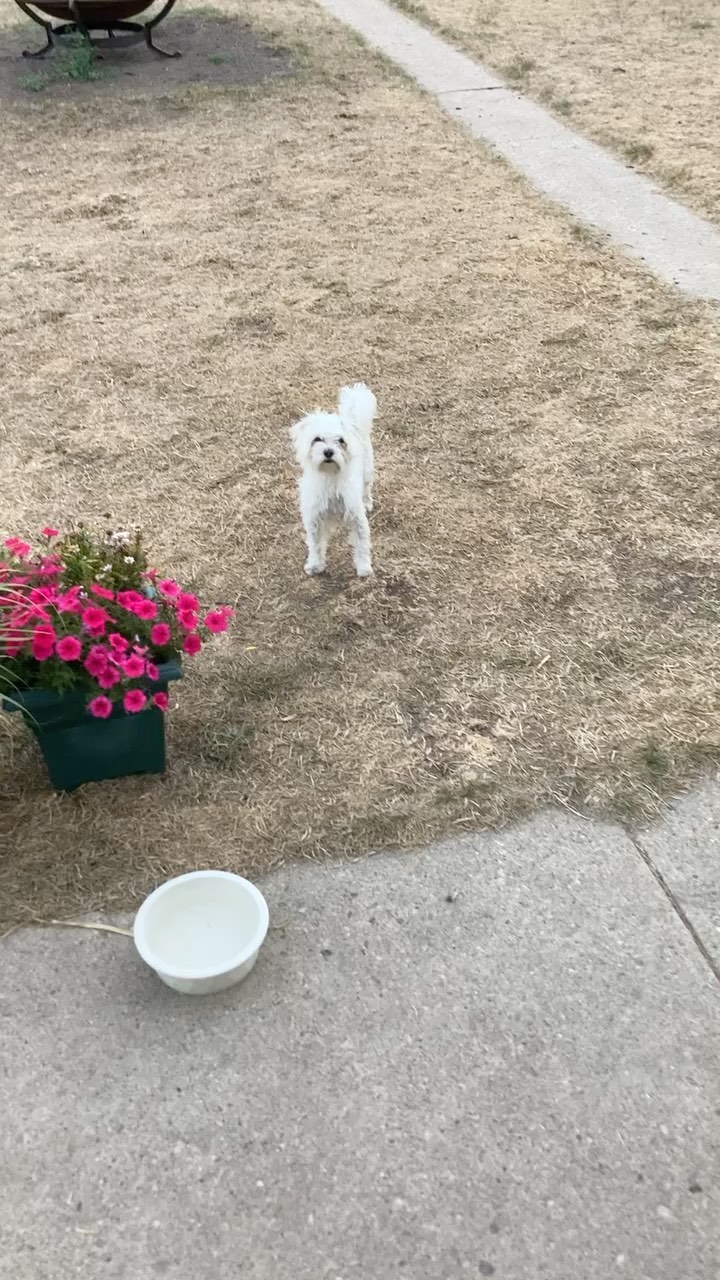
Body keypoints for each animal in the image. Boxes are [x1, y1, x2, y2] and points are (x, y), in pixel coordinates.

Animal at [288, 381, 376, 578]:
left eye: (341, 440)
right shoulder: (314, 518)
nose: (328, 452)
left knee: (367, 488)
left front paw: (364, 567)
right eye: (317, 439)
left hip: (367, 471)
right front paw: (315, 565)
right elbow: (315, 545)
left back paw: (367, 501)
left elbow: (362, 544)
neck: (330, 477)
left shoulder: (356, 517)